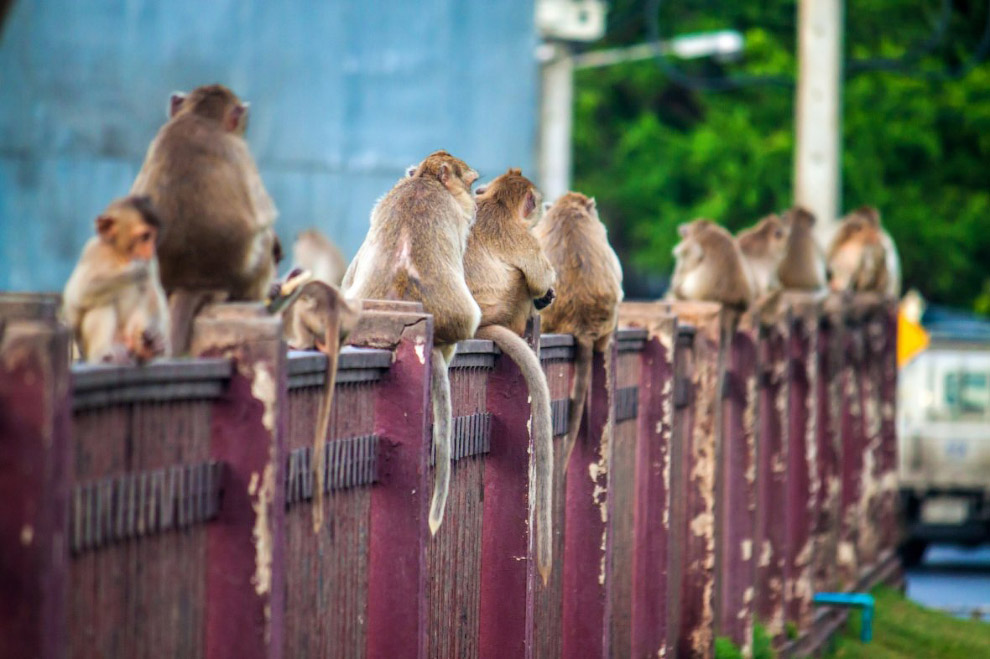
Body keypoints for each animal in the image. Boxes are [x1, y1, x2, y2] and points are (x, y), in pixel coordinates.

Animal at [62, 196, 171, 364]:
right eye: (145, 236)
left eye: (154, 236)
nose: (152, 249)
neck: (119, 255)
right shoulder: (93, 251)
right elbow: (80, 294)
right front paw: (136, 270)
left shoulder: (152, 262)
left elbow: (154, 291)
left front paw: (156, 337)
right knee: (102, 300)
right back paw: (103, 354)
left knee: (147, 290)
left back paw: (147, 350)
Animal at [130, 84, 278, 355]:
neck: (199, 116)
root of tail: (195, 282)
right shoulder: (240, 151)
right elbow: (264, 216)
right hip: (242, 276)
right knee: (263, 239)